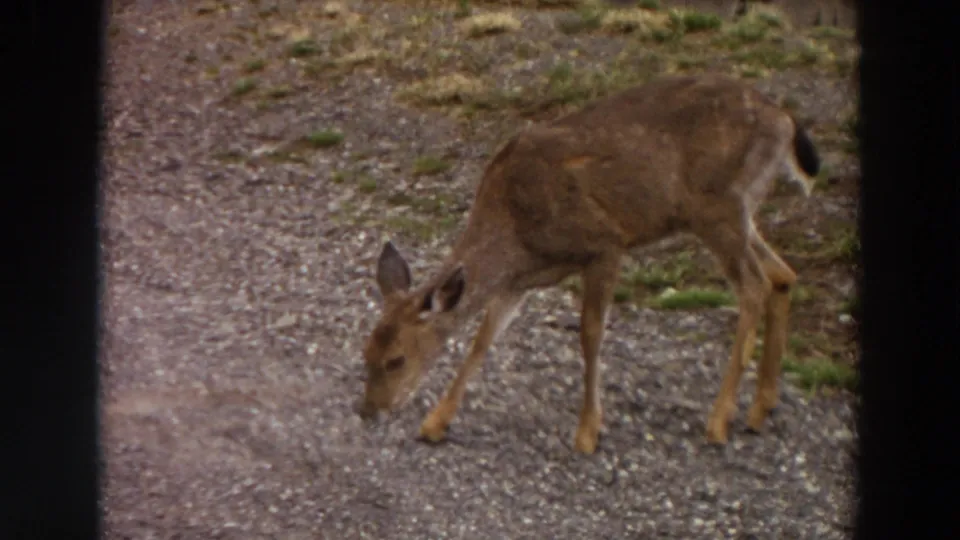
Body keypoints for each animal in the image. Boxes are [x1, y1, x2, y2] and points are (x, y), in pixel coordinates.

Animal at [356, 73, 821, 455]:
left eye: (396, 359)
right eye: (365, 352)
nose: (368, 412)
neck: (515, 231)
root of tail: (784, 120)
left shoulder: (605, 245)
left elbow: (590, 336)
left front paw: (588, 432)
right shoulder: (518, 281)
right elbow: (482, 340)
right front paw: (435, 422)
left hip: (717, 206)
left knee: (754, 285)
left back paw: (720, 419)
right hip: (737, 211)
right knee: (783, 274)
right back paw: (760, 408)